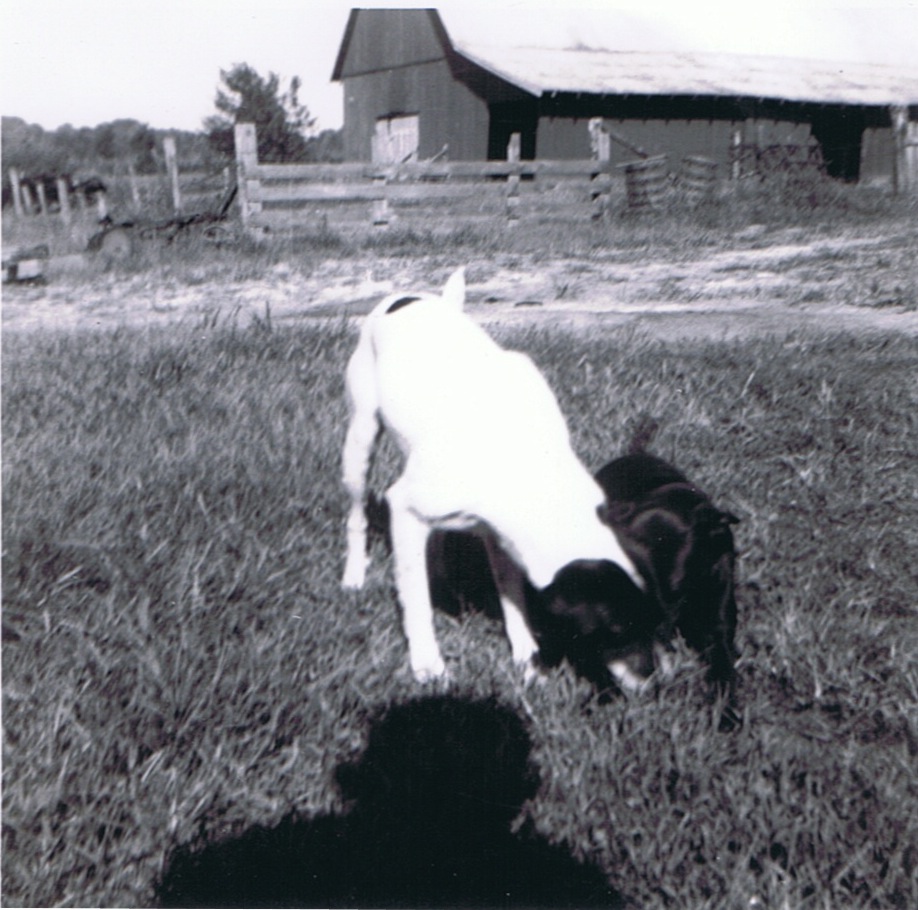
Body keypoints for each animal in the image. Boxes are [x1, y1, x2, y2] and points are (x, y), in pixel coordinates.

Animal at [340, 270, 648, 684]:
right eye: (616, 629)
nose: (657, 677)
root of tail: (410, 298)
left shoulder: (502, 535)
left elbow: (512, 596)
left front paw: (526, 656)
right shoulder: (404, 507)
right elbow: (416, 601)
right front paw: (427, 664)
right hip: (360, 442)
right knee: (356, 515)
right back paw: (354, 574)